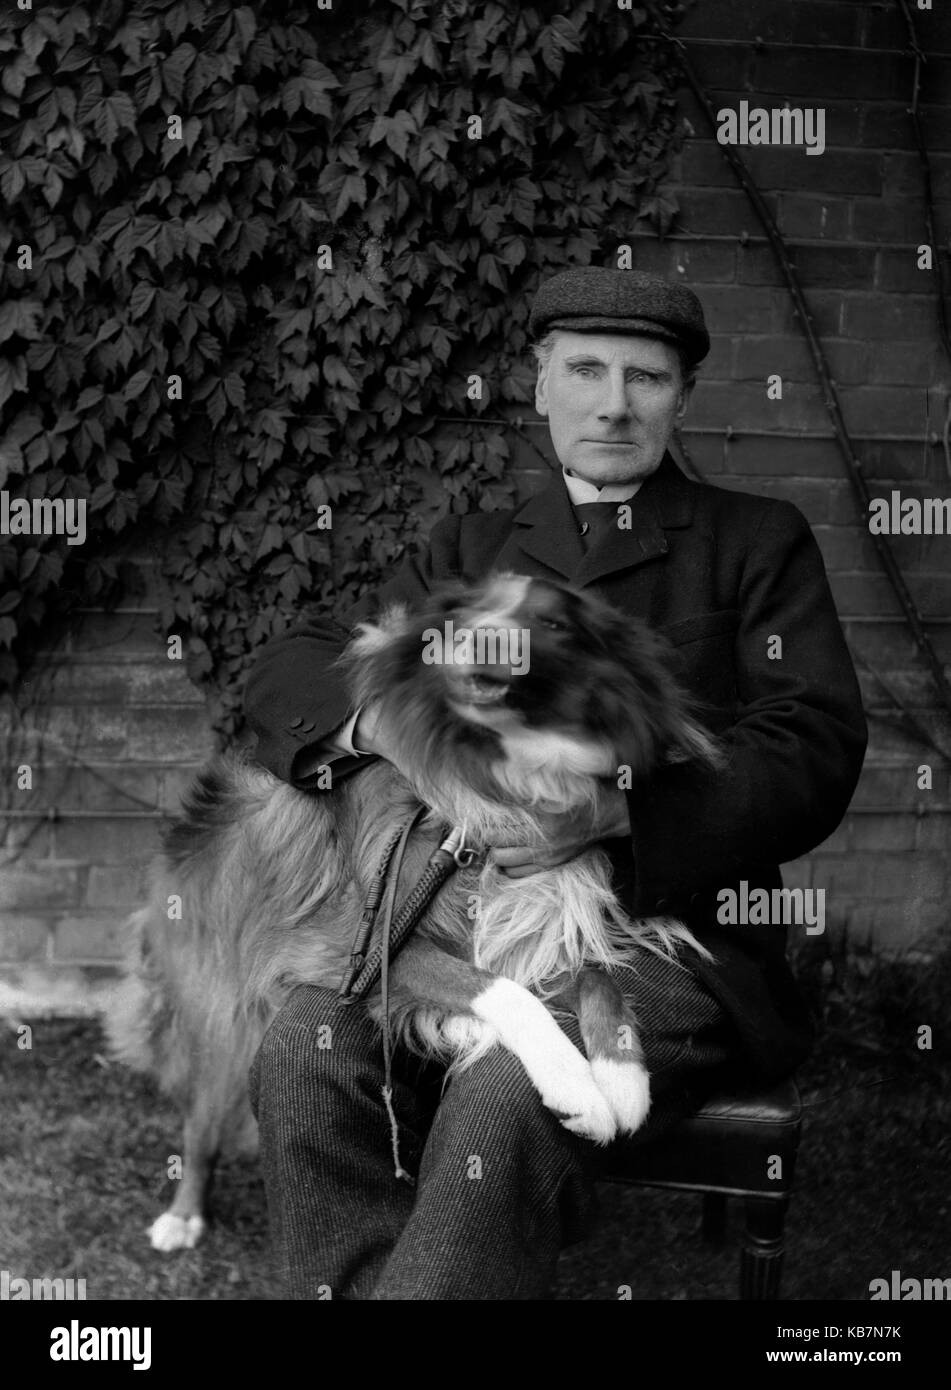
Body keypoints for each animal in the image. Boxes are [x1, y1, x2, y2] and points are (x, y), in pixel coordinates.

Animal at [105, 569, 711, 1256]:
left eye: (555, 622)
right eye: (465, 613)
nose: (482, 641)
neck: (506, 774)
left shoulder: (541, 915)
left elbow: (594, 972)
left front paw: (622, 1078)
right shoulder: (356, 942)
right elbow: (502, 989)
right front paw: (574, 1083)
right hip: (222, 1008)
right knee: (202, 1118)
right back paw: (183, 1214)